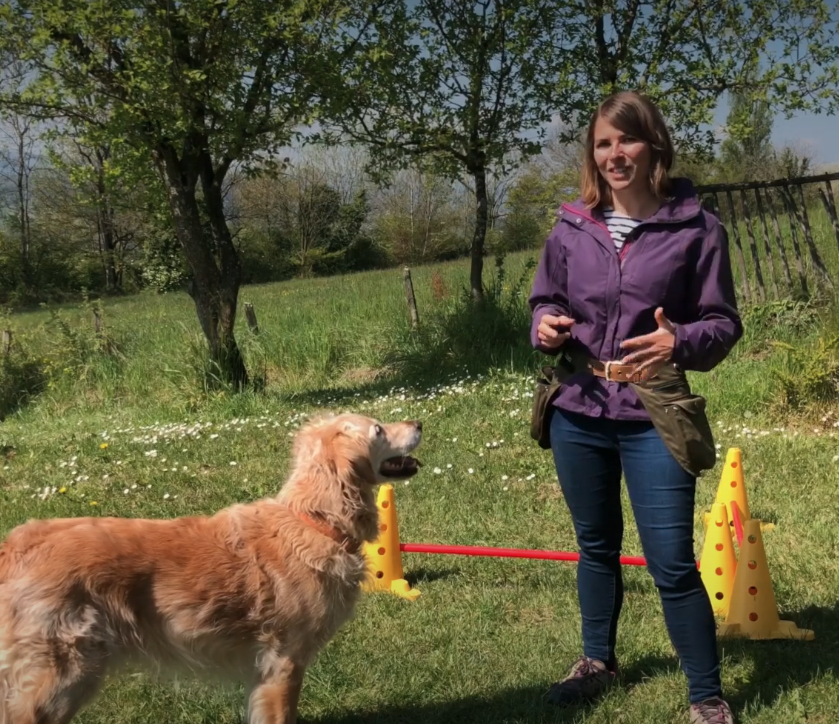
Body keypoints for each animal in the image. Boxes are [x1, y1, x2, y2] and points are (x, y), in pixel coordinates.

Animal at [0, 412, 420, 724]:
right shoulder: (284, 663)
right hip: (63, 676)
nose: (418, 423)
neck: (314, 520)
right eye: (379, 429)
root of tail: (13, 545)